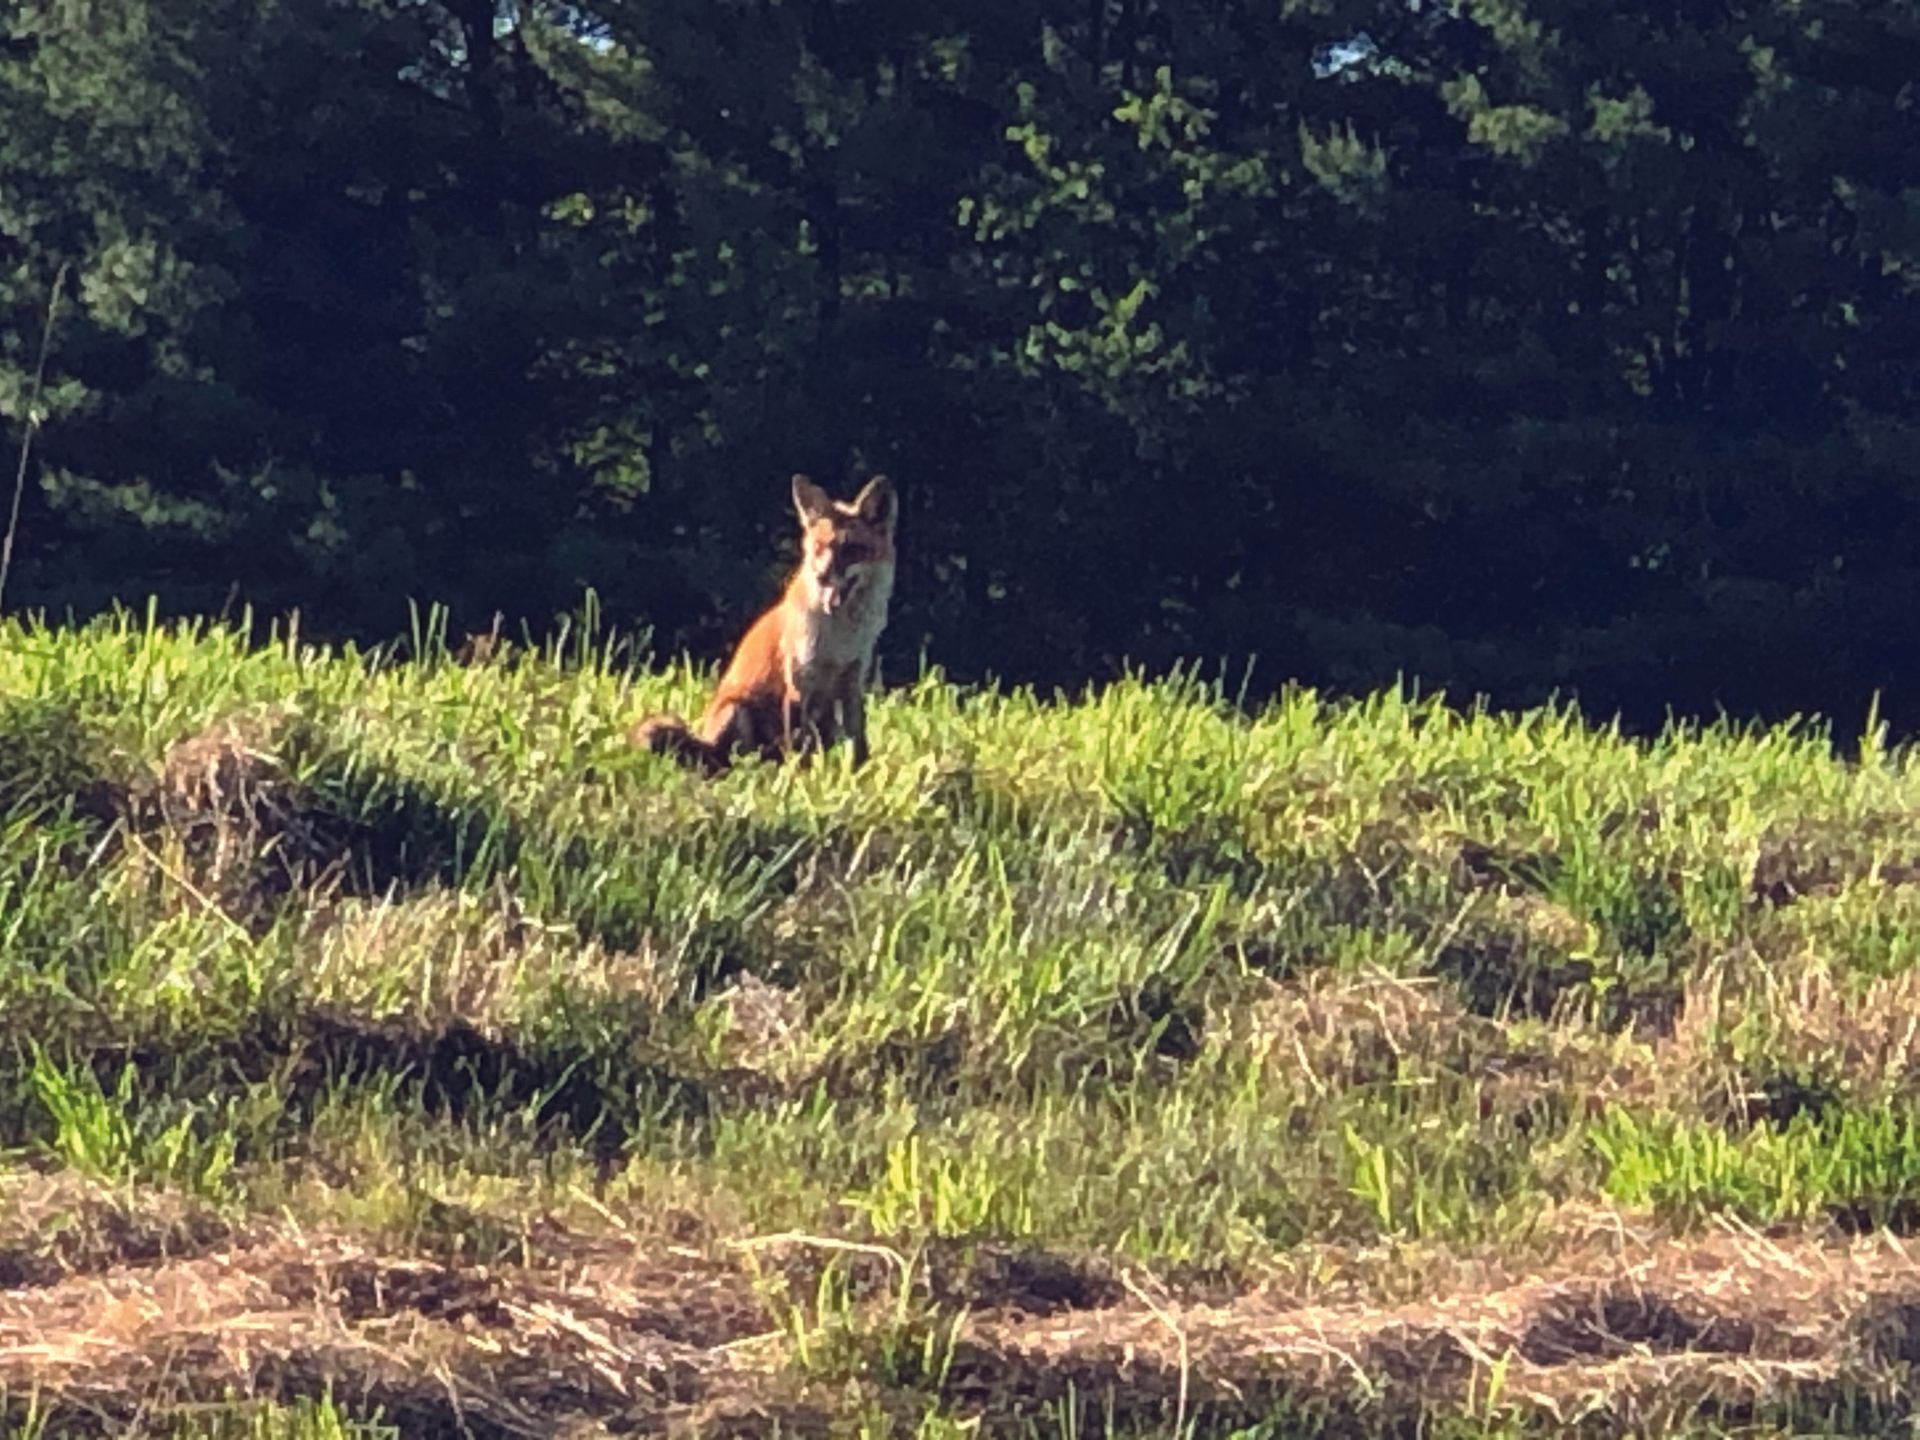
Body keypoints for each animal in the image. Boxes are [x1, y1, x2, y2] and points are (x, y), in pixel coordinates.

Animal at [630, 473, 898, 774]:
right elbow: (799, 745)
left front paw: (860, 775)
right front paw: (800, 779)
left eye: (850, 550)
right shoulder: (799, 681)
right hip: (737, 709)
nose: (821, 576)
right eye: (818, 548)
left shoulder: (852, 681)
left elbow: (858, 742)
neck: (840, 639)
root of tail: (707, 743)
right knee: (733, 760)